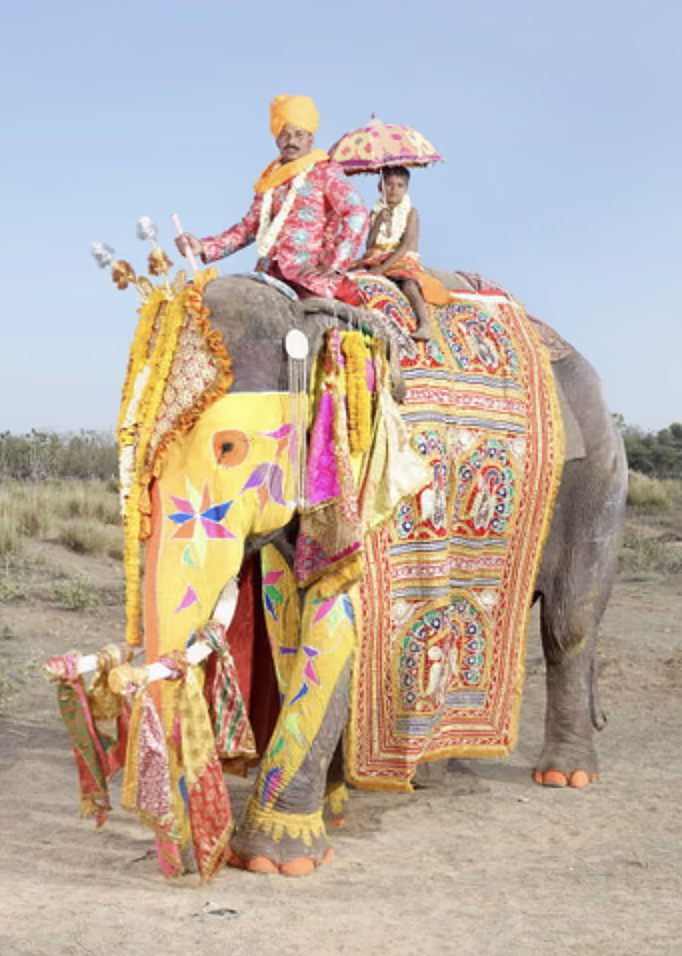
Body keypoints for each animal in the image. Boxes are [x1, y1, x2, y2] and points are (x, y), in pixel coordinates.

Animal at [143, 269, 627, 877]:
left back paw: (565, 775)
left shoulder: (382, 477)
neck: (307, 312)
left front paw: (274, 861)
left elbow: (339, 626)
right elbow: (297, 622)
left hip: (601, 479)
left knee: (569, 624)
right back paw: (429, 775)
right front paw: (331, 809)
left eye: (227, 446)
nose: (186, 862)